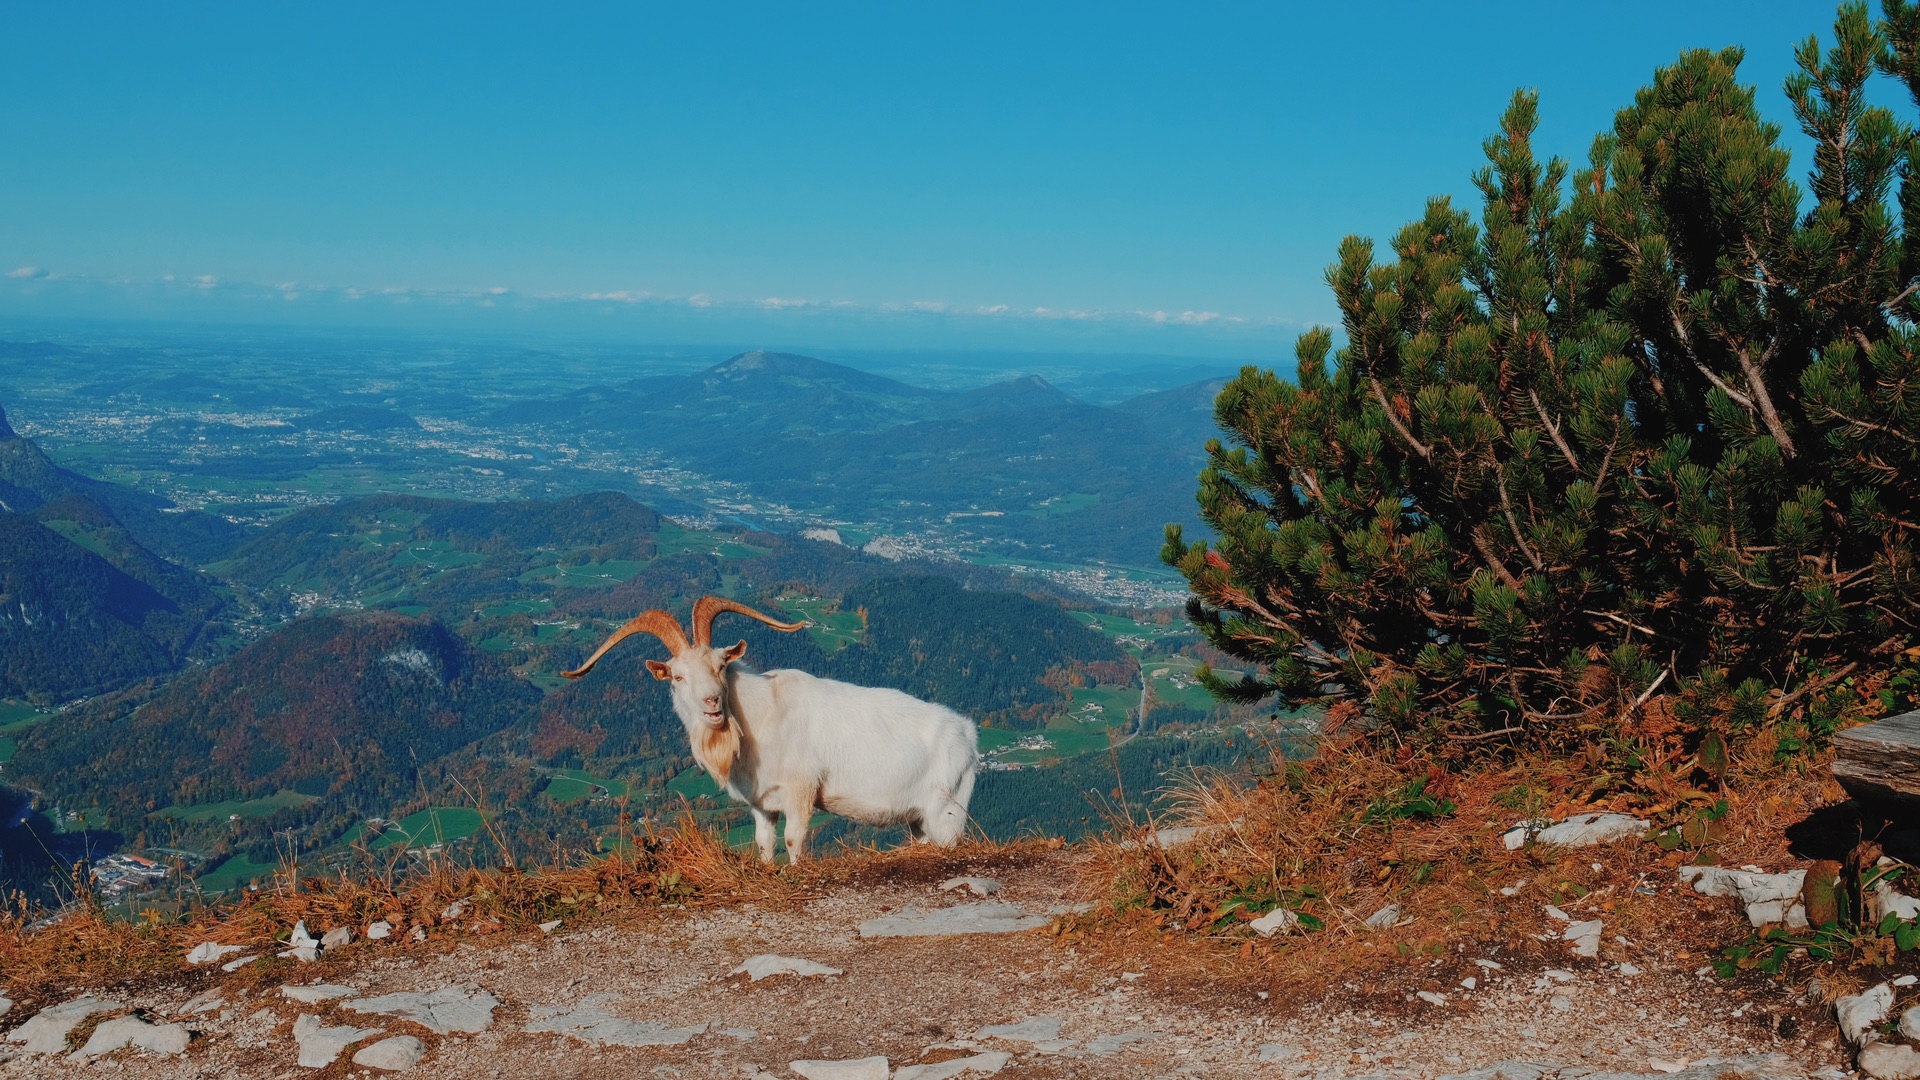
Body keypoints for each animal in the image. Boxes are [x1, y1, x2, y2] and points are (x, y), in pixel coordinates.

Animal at [556, 591, 975, 860]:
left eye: (721, 664)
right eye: (676, 676)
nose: (712, 703)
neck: (760, 717)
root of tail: (967, 733)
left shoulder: (801, 791)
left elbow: (793, 841)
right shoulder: (762, 804)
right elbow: (764, 844)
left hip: (948, 811)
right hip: (919, 820)